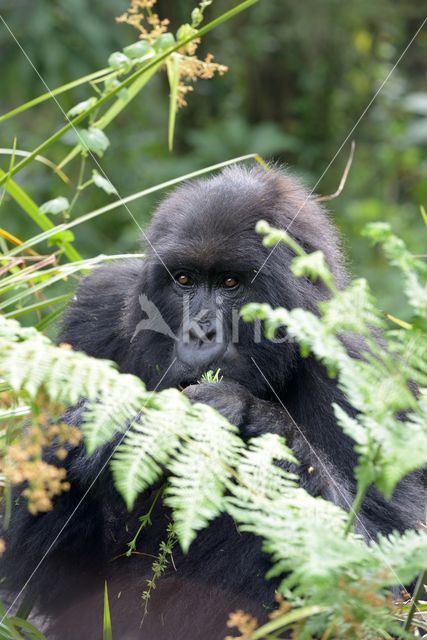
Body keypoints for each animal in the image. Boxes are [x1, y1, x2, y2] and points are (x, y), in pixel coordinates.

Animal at [2, 166, 424, 640]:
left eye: (230, 283)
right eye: (184, 280)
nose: (199, 333)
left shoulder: (362, 365)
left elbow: (390, 572)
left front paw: (247, 413)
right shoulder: (95, 309)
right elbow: (37, 570)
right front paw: (107, 428)